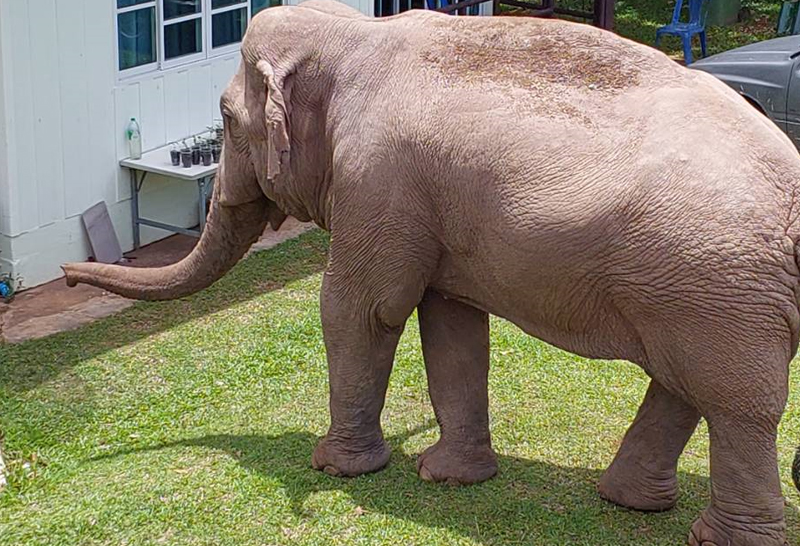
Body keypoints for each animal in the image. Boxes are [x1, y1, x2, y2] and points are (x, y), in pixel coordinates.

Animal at [62, 2, 800, 544]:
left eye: (223, 118)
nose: (68, 277)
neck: (358, 35)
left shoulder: (375, 180)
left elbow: (361, 309)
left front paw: (337, 467)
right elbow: (451, 326)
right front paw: (449, 479)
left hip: (714, 283)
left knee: (734, 402)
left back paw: (717, 537)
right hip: (698, 290)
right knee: (682, 384)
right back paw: (628, 502)